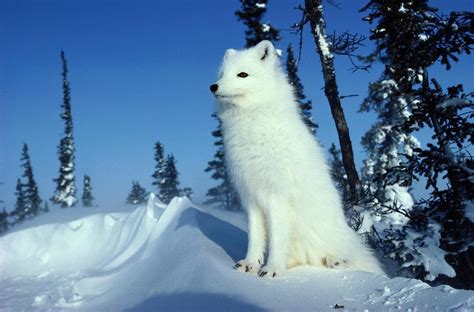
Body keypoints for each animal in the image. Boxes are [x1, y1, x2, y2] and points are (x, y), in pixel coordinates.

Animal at [209, 40, 384, 276]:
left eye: (242, 74)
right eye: (222, 74)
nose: (213, 86)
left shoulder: (277, 197)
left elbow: (276, 239)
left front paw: (272, 269)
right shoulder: (251, 197)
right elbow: (255, 238)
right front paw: (250, 264)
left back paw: (336, 261)